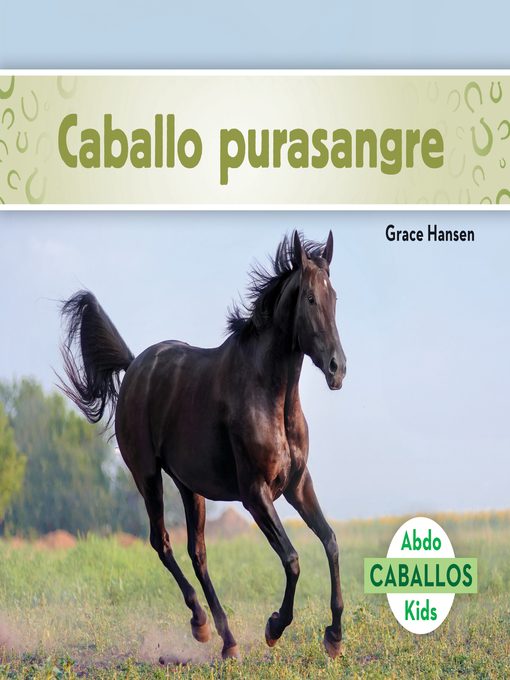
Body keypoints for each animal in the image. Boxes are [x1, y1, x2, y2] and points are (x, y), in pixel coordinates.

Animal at [59, 230, 347, 662]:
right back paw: (201, 623)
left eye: (335, 298)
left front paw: (334, 636)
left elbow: (329, 542)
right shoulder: (255, 494)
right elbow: (293, 559)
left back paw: (227, 640)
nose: (337, 368)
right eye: (310, 299)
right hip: (148, 476)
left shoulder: (297, 485)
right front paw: (274, 626)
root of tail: (134, 366)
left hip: (189, 486)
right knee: (162, 543)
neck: (269, 396)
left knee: (198, 554)